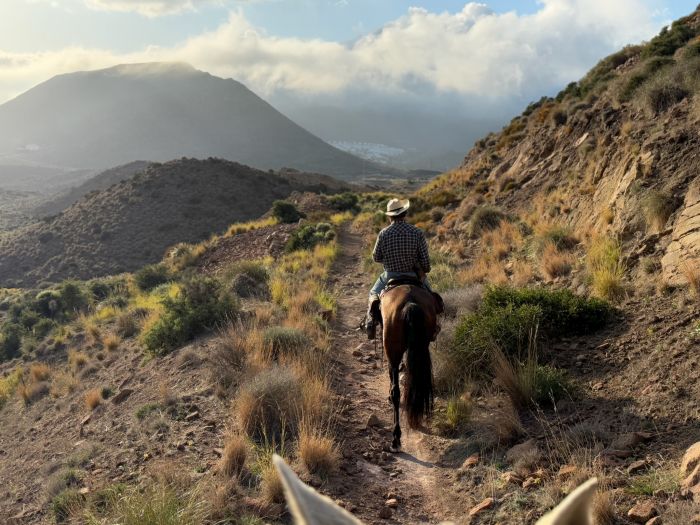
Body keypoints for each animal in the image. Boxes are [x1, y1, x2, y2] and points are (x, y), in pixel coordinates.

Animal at [380, 282, 434, 450]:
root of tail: (410, 302)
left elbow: (392, 375)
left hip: (393, 349)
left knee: (396, 392)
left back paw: (396, 438)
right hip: (422, 346)